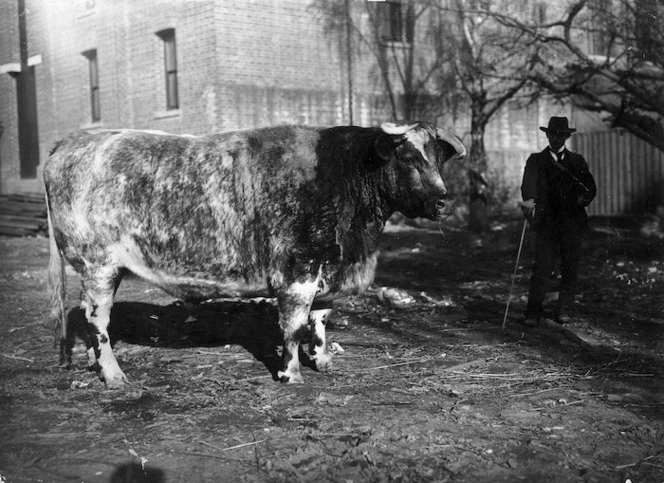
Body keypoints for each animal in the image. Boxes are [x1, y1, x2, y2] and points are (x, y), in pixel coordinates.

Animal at [44, 123, 464, 388]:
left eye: (438, 159)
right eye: (408, 158)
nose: (444, 200)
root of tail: (76, 140)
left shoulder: (327, 268)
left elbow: (320, 321)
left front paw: (323, 361)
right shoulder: (298, 269)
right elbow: (293, 325)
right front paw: (291, 373)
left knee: (87, 316)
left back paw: (94, 365)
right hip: (99, 265)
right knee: (98, 321)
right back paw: (114, 376)